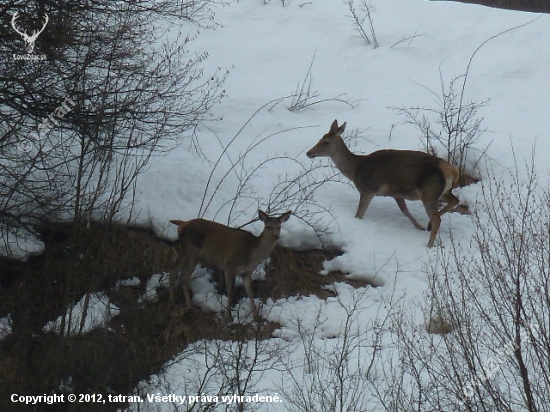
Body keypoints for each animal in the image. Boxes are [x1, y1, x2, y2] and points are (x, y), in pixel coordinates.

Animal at [306, 119, 462, 248]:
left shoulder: (368, 189)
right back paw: (428, 226)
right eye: (320, 138)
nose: (309, 153)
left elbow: (359, 214)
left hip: (429, 192)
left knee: (437, 219)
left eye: (326, 142)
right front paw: (420, 227)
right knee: (455, 200)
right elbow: (405, 211)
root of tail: (452, 170)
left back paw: (429, 245)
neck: (356, 169)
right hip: (442, 191)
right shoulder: (396, 194)